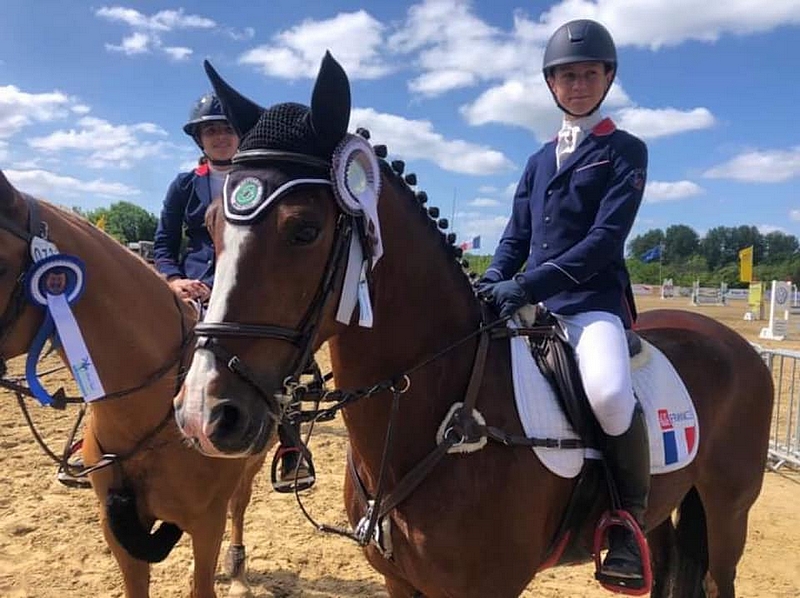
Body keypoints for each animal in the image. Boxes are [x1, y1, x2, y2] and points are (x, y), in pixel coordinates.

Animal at [177, 52, 776, 598]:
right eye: (210, 224)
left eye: (304, 229)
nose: (204, 414)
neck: (445, 405)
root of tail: (733, 345)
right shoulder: (400, 581)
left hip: (728, 511)